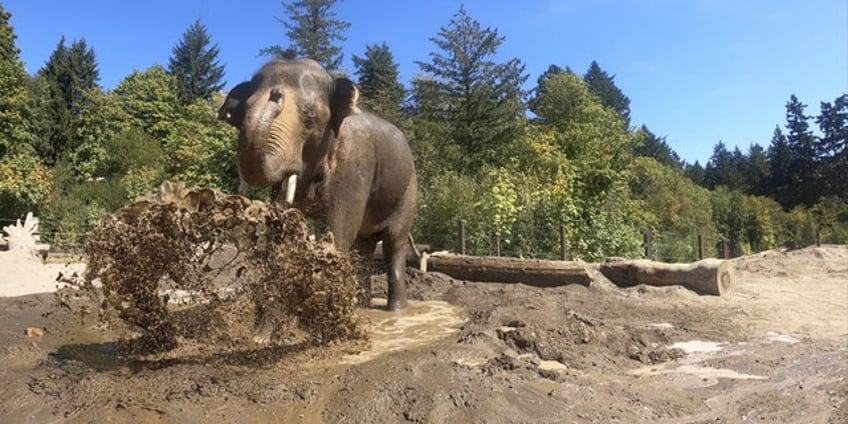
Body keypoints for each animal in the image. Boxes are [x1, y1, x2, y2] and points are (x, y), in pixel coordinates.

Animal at [219, 58, 418, 312]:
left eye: (310, 118)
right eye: (245, 109)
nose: (276, 94)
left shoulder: (354, 164)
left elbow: (338, 230)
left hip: (408, 191)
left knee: (394, 242)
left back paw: (396, 311)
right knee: (363, 246)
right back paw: (362, 304)